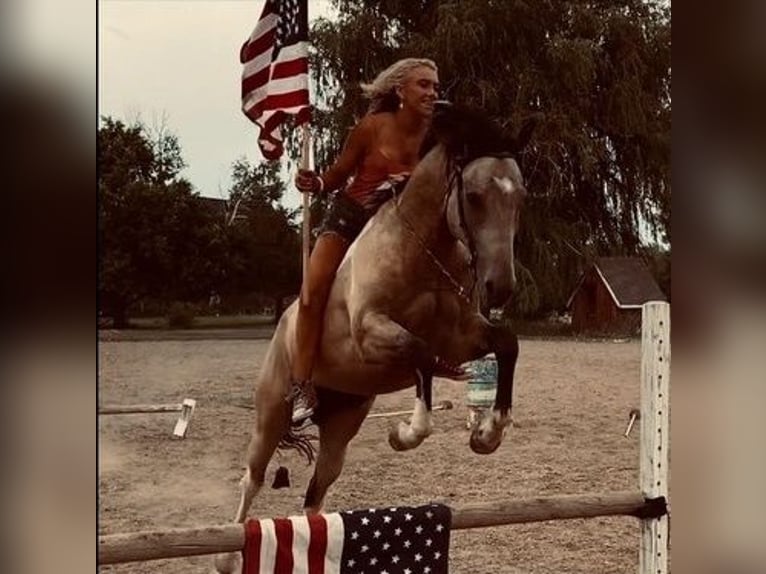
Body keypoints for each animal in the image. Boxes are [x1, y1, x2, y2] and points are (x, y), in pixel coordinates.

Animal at [216, 104, 536, 574]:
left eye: (520, 198)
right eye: (475, 196)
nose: (500, 288)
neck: (422, 250)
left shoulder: (462, 337)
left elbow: (506, 344)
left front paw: (488, 434)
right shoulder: (371, 334)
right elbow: (421, 355)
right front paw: (405, 432)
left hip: (341, 426)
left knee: (316, 496)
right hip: (271, 414)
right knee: (252, 479)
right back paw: (226, 555)